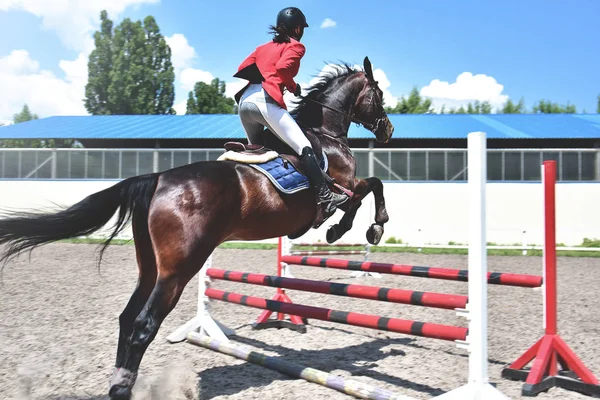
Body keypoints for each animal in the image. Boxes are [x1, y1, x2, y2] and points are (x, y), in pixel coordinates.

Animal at [0, 56, 394, 400]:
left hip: (151, 267)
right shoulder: (344, 186)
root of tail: (159, 178)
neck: (324, 134)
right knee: (144, 325)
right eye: (378, 94)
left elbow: (368, 189)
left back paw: (119, 381)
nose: (388, 130)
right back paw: (124, 389)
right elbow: (369, 189)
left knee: (127, 318)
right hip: (179, 270)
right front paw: (361, 228)